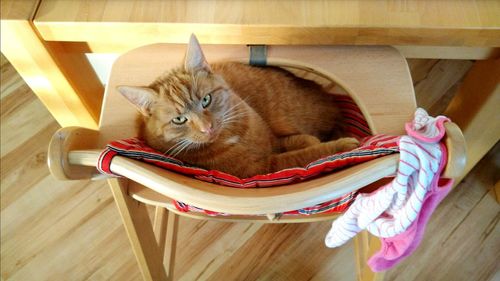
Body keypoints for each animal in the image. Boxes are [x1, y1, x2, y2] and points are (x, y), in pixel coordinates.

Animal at [118, 35, 358, 177]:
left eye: (206, 100)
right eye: (179, 119)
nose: (207, 128)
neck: (232, 133)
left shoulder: (271, 140)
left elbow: (295, 140)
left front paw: (307, 140)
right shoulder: (264, 168)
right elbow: (308, 154)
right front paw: (340, 146)